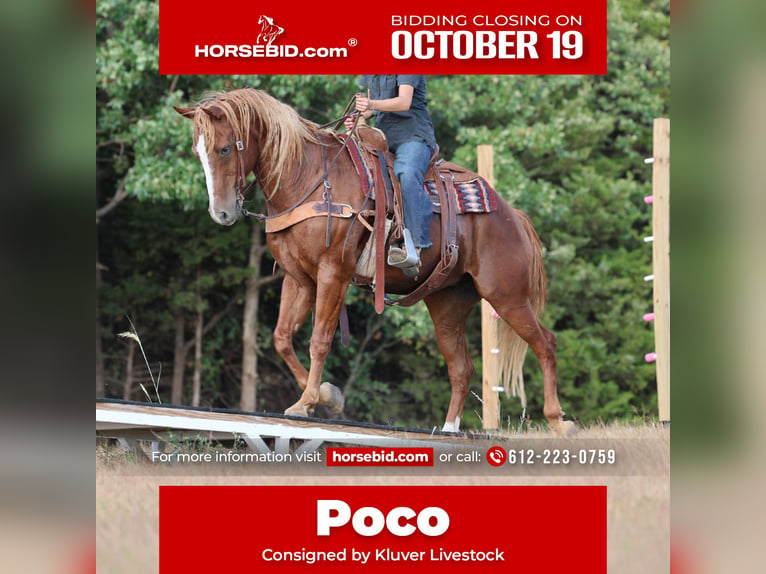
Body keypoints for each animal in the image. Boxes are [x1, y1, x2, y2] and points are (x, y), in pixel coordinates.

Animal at [174, 88, 575, 436]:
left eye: (225, 148)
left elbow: (319, 339)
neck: (309, 178)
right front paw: (327, 396)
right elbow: (282, 338)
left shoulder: (333, 273)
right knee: (462, 367)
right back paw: (449, 428)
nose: (222, 213)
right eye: (198, 152)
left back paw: (559, 421)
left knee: (546, 344)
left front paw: (306, 403)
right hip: (448, 303)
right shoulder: (298, 278)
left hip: (507, 295)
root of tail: (512, 215)